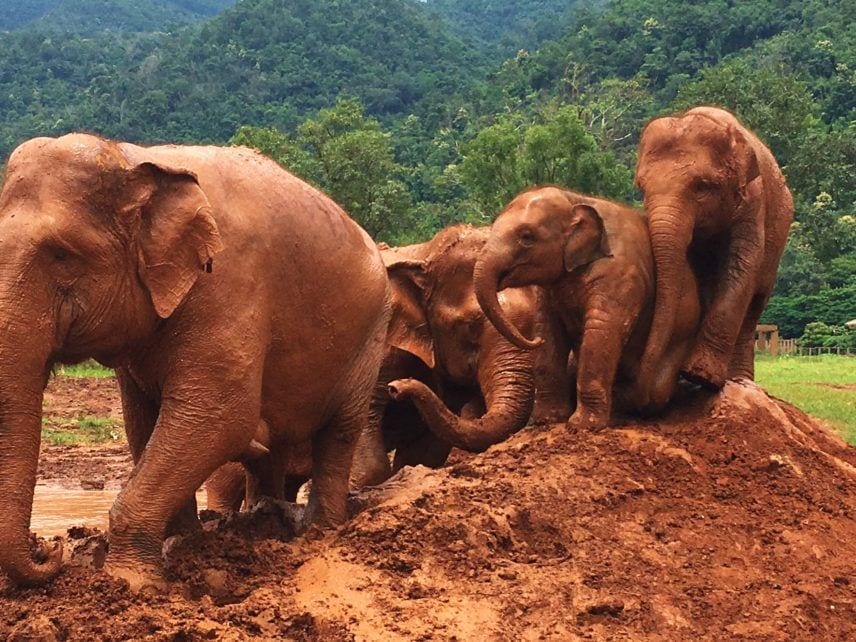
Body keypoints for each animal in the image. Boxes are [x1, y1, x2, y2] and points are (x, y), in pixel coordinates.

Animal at [0, 134, 390, 590]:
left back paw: (317, 532)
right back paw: (264, 523)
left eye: (62, 255)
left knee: (340, 432)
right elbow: (144, 423)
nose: (51, 550)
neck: (133, 158)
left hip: (370, 337)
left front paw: (130, 583)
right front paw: (182, 544)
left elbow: (219, 418)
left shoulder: (228, 285)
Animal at [473, 186, 701, 430]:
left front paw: (583, 426)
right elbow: (549, 333)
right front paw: (547, 420)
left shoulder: (621, 276)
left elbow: (600, 333)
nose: (533, 340)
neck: (575, 200)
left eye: (527, 237)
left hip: (681, 335)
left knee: (657, 391)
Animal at [635, 106, 794, 390]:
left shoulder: (753, 201)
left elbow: (741, 264)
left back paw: (738, 380)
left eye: (702, 186)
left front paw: (700, 376)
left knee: (755, 305)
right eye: (641, 187)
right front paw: (688, 379)